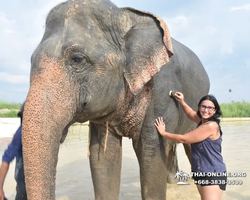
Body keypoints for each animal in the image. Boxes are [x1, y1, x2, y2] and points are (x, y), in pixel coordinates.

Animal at [22, 0, 209, 199]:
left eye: (77, 59)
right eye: (31, 59)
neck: (124, 16)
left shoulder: (163, 88)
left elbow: (150, 150)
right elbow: (103, 155)